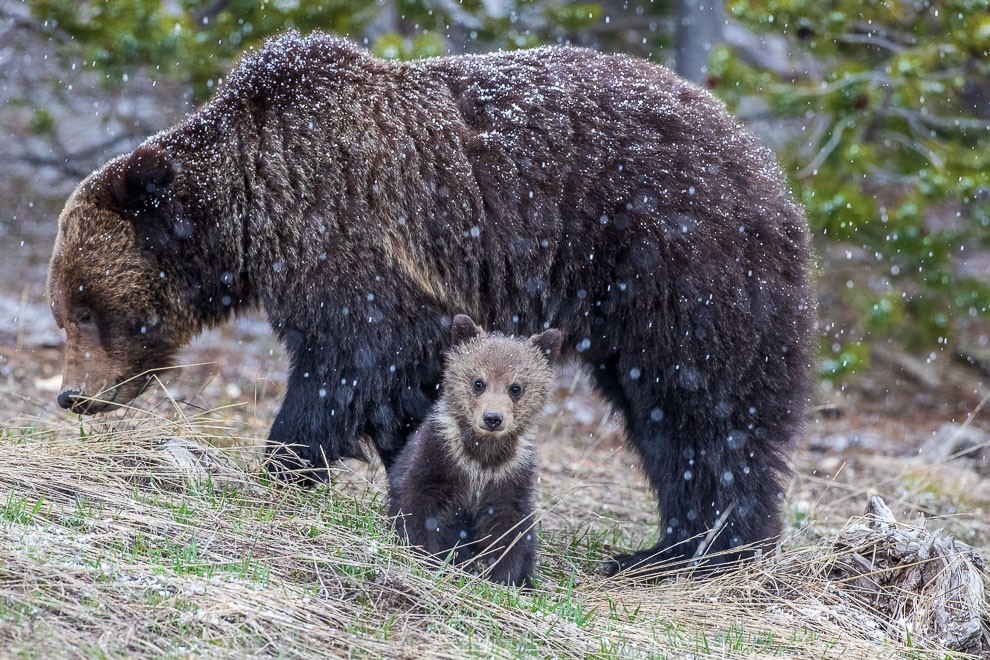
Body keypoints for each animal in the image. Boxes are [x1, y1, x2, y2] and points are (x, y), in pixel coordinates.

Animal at [48, 31, 812, 576]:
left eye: (86, 311)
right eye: (64, 312)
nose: (72, 395)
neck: (254, 209)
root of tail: (768, 167)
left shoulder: (350, 239)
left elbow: (348, 364)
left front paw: (281, 464)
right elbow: (406, 395)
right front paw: (417, 479)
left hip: (674, 261)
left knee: (701, 402)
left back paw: (694, 551)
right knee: (662, 411)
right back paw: (670, 546)